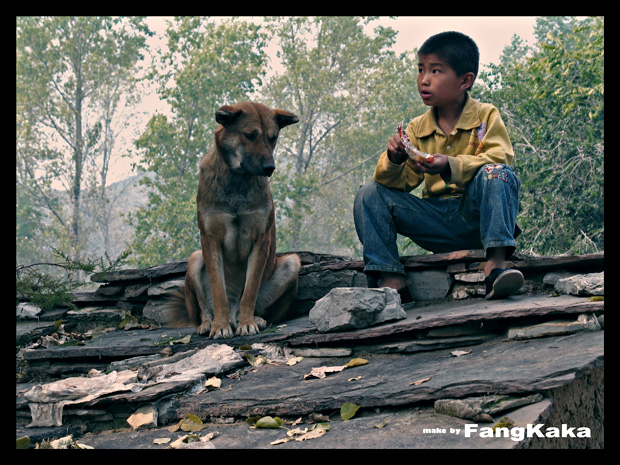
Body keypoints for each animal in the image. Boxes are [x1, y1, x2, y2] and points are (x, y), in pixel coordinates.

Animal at [165, 100, 300, 338]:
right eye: (250, 135)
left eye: (273, 137)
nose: (270, 168)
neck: (238, 179)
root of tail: (233, 312)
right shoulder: (210, 239)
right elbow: (218, 291)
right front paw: (219, 326)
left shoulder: (261, 240)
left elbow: (250, 290)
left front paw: (248, 323)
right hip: (195, 258)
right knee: (204, 309)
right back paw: (208, 323)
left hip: (292, 262)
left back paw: (254, 318)